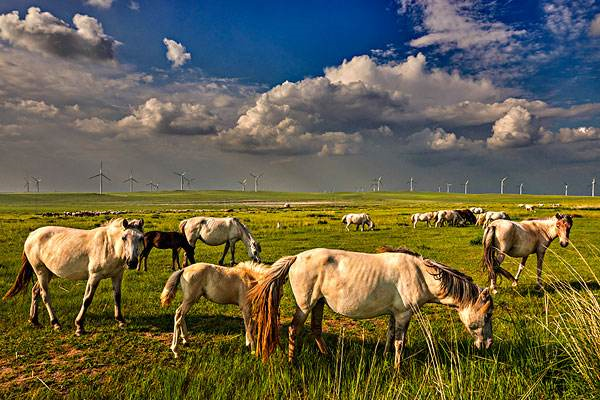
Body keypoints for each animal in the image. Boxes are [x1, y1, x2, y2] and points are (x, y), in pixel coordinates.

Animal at [2, 219, 144, 334]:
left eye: (141, 238)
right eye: (124, 237)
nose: (132, 262)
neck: (110, 246)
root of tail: (31, 235)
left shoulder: (117, 275)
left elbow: (117, 297)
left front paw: (120, 320)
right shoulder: (94, 276)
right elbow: (87, 299)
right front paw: (79, 326)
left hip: (48, 273)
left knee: (35, 291)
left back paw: (34, 320)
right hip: (40, 271)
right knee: (44, 295)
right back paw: (55, 323)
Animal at [247, 247, 492, 368]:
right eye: (488, 315)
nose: (488, 344)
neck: (421, 274)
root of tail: (296, 257)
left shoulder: (395, 314)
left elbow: (390, 335)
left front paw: (385, 357)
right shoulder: (404, 314)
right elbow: (399, 342)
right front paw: (397, 369)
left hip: (318, 304)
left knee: (316, 330)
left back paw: (329, 358)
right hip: (305, 306)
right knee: (293, 330)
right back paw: (292, 363)